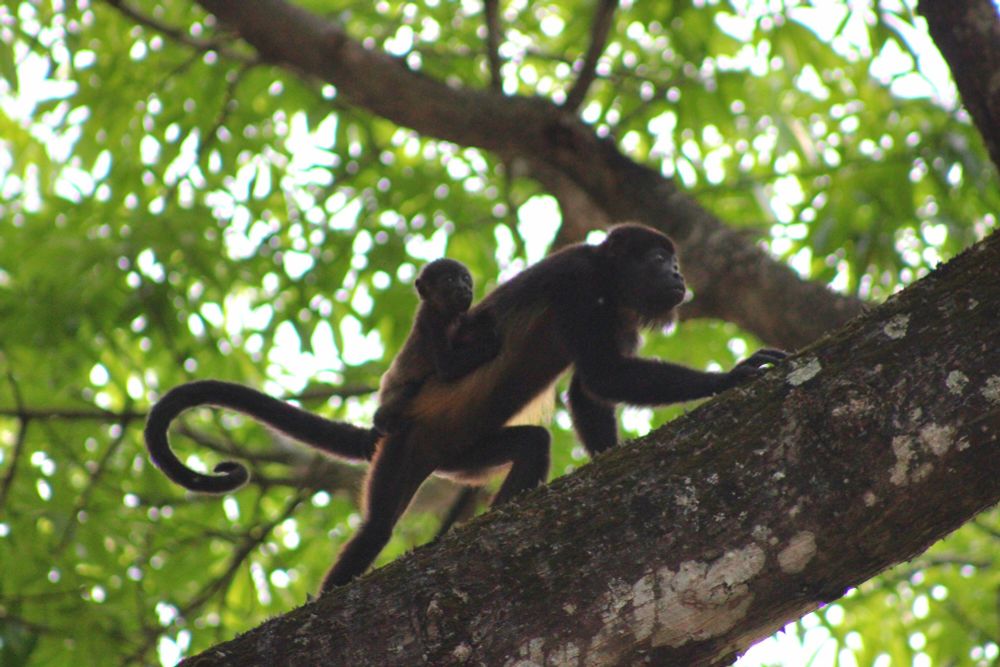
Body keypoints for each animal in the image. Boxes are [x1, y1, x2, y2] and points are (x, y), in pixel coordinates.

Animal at [373, 258, 500, 435]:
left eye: (465, 278)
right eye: (449, 280)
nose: (464, 287)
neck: (446, 315)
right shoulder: (431, 323)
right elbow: (447, 367)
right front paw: (490, 342)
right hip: (391, 390)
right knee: (405, 392)